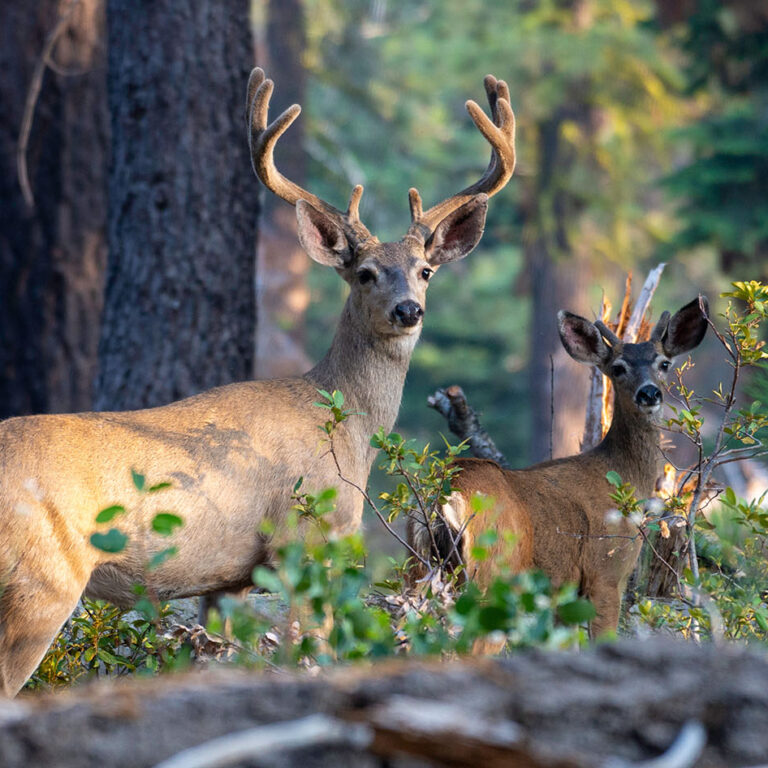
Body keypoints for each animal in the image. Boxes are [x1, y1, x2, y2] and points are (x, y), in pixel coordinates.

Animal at [0, 72, 516, 696]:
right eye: (365, 273)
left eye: (425, 270)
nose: (408, 310)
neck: (344, 426)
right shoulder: (304, 538)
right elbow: (312, 651)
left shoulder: (229, 580)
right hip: (42, 579)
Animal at [408, 296, 708, 640]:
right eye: (618, 368)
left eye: (664, 363)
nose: (649, 393)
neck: (623, 478)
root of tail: (444, 496)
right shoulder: (606, 572)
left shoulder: (564, 593)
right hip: (491, 566)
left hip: (419, 565)